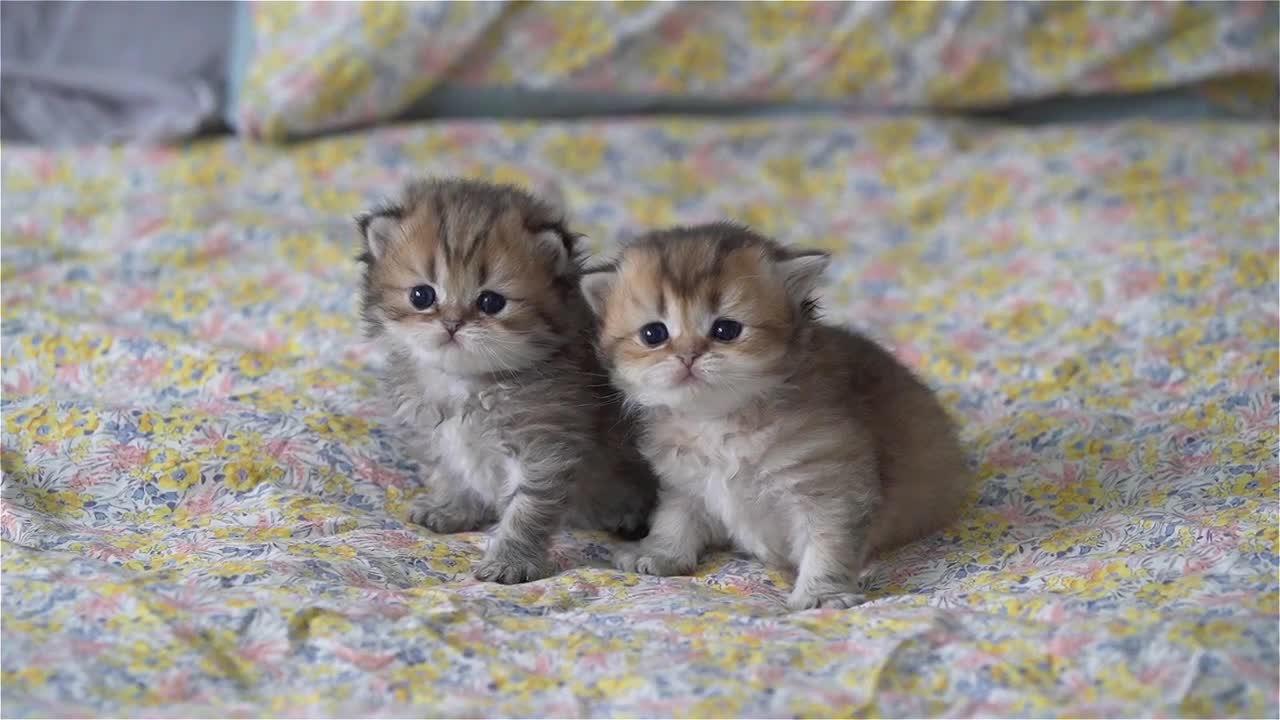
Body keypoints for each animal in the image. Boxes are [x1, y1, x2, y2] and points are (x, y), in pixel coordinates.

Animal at [360, 178, 660, 584]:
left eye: (491, 302)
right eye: (422, 296)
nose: (452, 324)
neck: (467, 384)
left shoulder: (544, 448)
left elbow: (526, 510)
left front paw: (510, 560)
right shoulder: (440, 437)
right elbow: (451, 473)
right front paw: (452, 508)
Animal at [581, 222, 967, 604]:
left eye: (725, 330)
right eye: (653, 333)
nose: (688, 355)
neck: (719, 421)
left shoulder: (831, 485)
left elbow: (828, 544)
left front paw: (823, 593)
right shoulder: (686, 483)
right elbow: (675, 518)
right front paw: (661, 553)